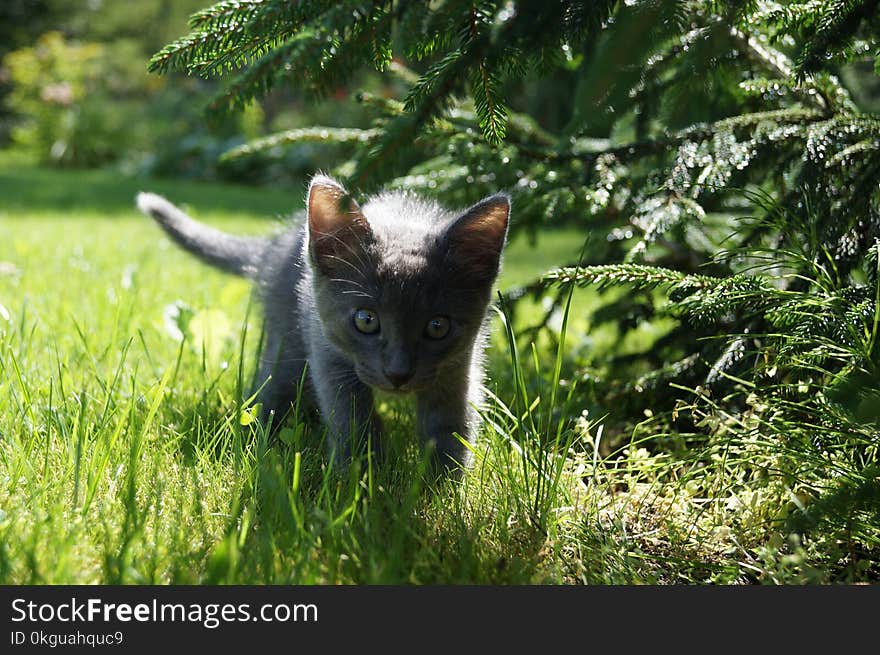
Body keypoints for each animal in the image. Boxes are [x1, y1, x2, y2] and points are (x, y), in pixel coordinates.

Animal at [137, 177, 508, 474]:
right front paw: (360, 482)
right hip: (287, 340)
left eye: (437, 326)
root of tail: (277, 245)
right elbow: (349, 416)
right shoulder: (327, 350)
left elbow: (450, 423)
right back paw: (259, 437)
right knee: (273, 385)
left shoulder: (458, 364)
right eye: (366, 320)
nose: (398, 374)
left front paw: (444, 489)